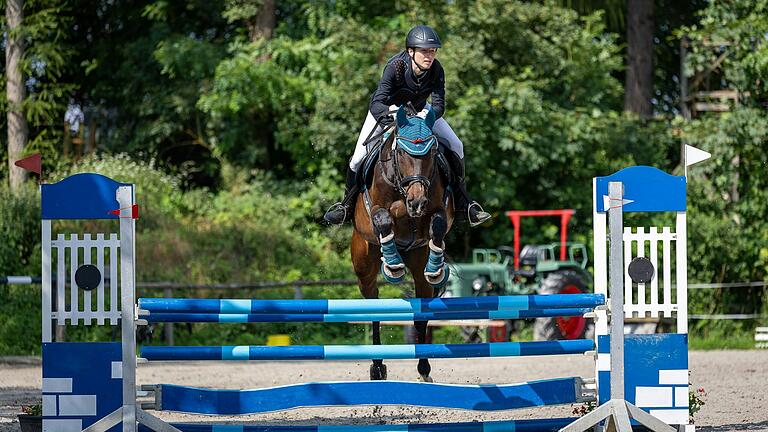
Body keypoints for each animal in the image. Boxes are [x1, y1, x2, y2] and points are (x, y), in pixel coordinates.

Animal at [352, 105, 452, 382]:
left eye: (432, 153)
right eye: (401, 153)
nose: (416, 201)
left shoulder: (439, 209)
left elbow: (437, 224)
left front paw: (437, 268)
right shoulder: (377, 210)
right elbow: (385, 217)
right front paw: (393, 265)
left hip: (418, 266)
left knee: (421, 315)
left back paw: (424, 368)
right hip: (364, 267)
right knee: (374, 309)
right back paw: (377, 367)